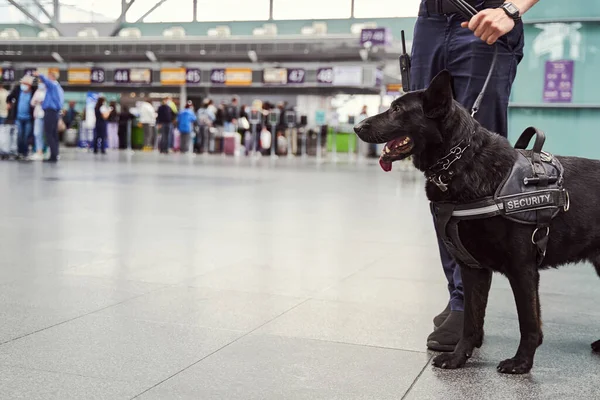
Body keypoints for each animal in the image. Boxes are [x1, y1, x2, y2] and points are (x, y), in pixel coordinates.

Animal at [354, 69, 600, 376]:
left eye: (397, 109)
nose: (357, 126)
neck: (463, 163)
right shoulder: (473, 269)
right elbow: (471, 321)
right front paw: (459, 358)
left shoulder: (523, 270)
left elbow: (528, 322)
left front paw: (522, 363)